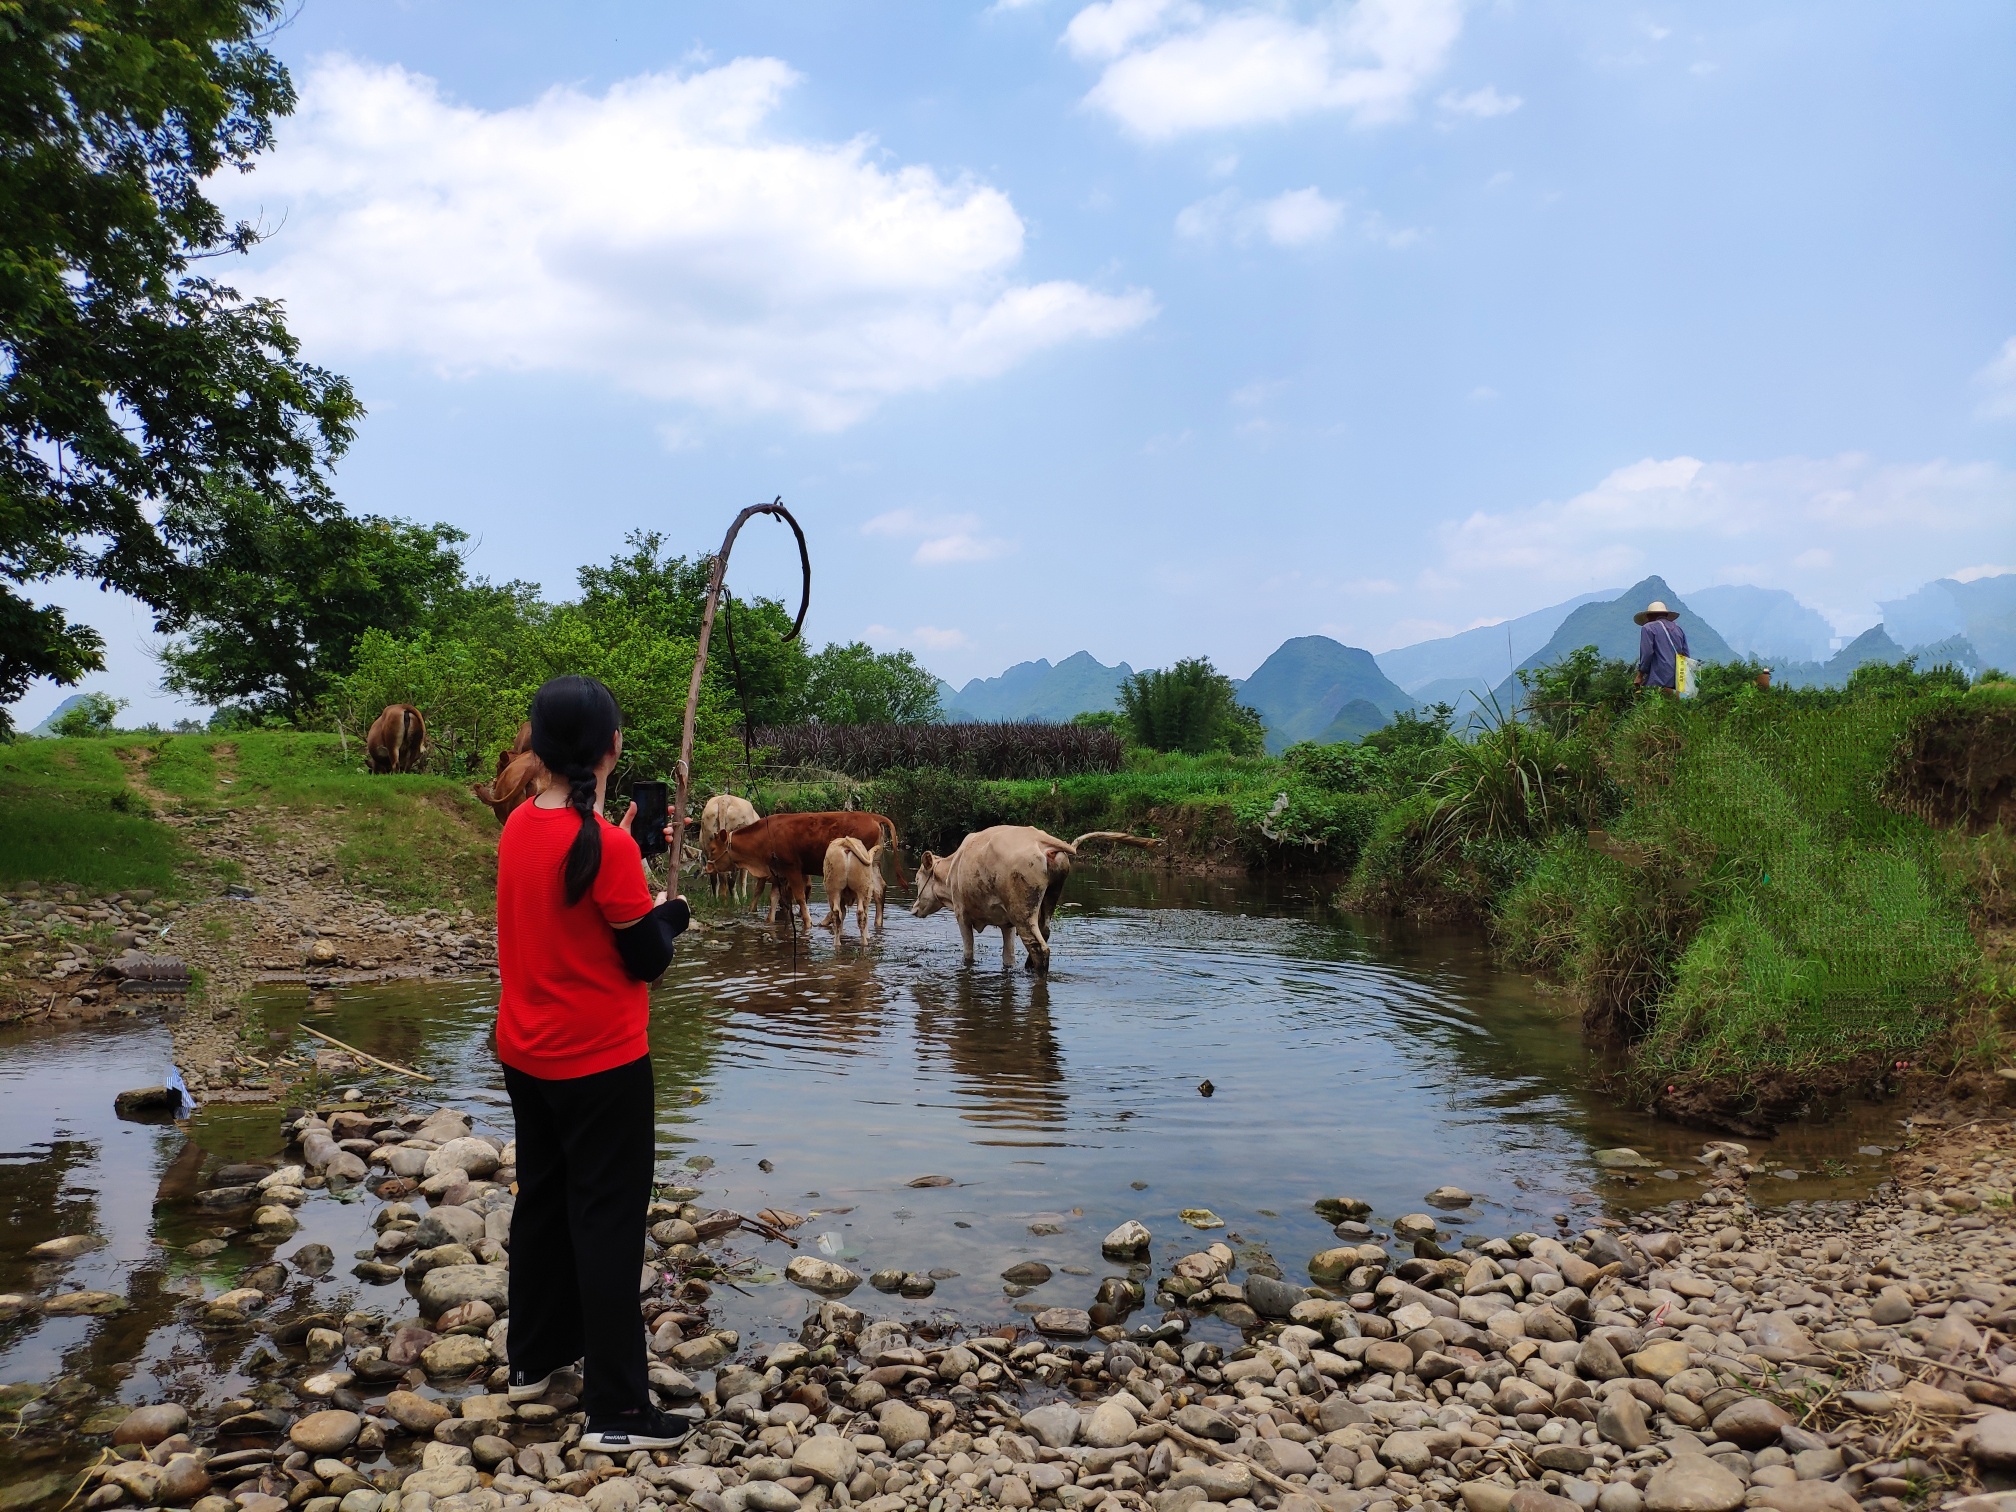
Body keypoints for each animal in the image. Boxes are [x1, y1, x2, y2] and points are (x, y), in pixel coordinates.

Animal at [705, 810, 903, 943]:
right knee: (879, 890)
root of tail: (872, 816)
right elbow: (775, 897)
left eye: (713, 849)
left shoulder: (792, 868)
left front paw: (807, 922)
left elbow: (799, 897)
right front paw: (769, 920)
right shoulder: (778, 872)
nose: (707, 867)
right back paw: (877, 923)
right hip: (873, 865)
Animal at [911, 830, 1161, 971]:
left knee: (1039, 946)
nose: (913, 909)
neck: (952, 868)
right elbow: (1008, 957)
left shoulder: (962, 915)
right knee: (1045, 932)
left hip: (1022, 910)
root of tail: (1040, 839)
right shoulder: (1007, 923)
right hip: (1046, 900)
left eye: (916, 879)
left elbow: (969, 954)